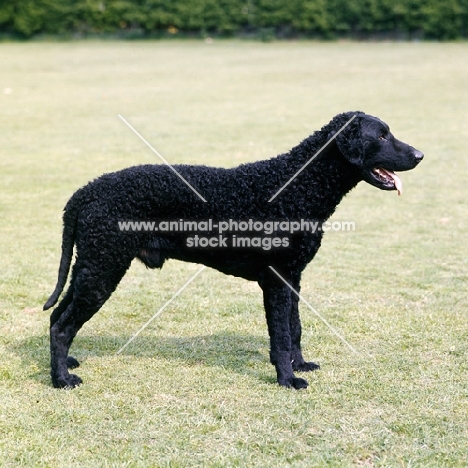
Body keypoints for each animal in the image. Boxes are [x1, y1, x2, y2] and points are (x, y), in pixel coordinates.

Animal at [44, 111, 424, 390]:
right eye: (381, 136)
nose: (420, 155)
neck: (297, 184)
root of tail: (85, 192)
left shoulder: (293, 277)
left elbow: (295, 327)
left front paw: (300, 364)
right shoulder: (276, 280)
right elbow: (281, 335)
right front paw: (287, 379)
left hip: (89, 265)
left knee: (55, 317)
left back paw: (63, 364)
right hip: (102, 268)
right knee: (62, 326)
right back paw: (62, 380)